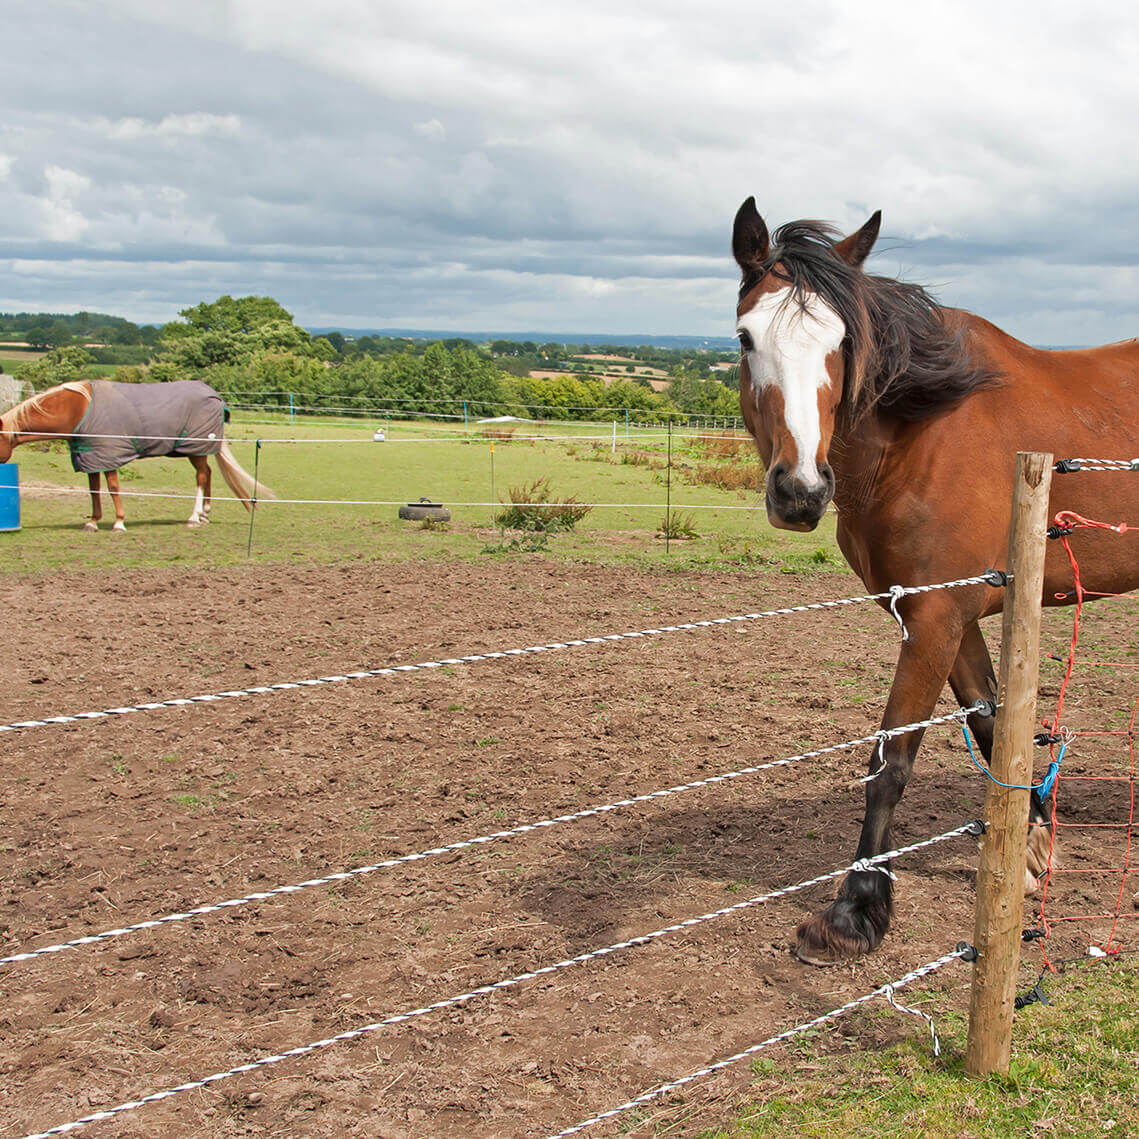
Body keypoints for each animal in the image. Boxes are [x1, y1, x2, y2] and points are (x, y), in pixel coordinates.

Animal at [0, 378, 268, 528]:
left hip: (196, 448)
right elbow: (94, 490)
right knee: (208, 473)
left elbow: (113, 488)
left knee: (202, 476)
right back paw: (204, 514)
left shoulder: (109, 455)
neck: (78, 408)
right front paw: (93, 522)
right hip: (194, 450)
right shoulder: (91, 457)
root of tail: (215, 397)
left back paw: (194, 517)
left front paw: (119, 522)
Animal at [728, 200, 1139, 965]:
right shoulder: (948, 615)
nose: (800, 491)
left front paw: (855, 910)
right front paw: (1031, 846)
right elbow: (989, 721)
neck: (919, 436)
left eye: (840, 340)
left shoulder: (934, 617)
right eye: (746, 337)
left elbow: (890, 760)